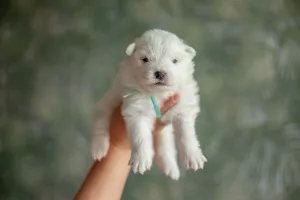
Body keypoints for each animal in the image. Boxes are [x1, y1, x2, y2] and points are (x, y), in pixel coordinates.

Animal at [92, 28, 206, 180]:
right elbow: (140, 135)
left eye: (174, 60)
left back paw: (171, 168)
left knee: (165, 145)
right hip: (107, 102)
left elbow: (186, 133)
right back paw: (99, 148)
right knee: (100, 118)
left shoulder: (182, 108)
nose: (160, 73)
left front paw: (193, 156)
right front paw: (141, 160)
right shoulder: (136, 110)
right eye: (145, 59)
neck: (158, 94)